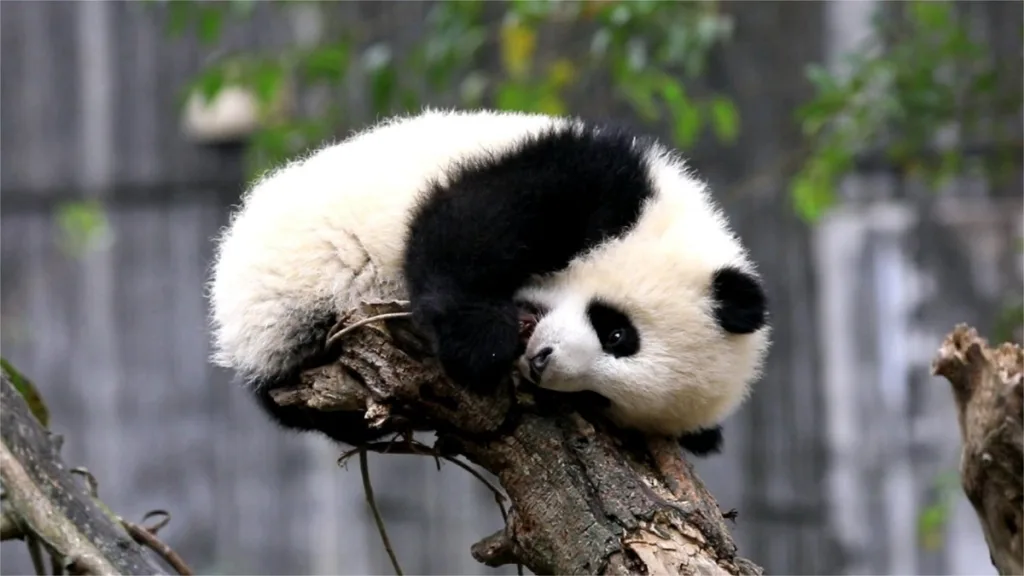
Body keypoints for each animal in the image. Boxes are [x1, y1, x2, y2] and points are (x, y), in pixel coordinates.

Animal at [208, 108, 771, 456]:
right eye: (617, 333)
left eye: (599, 400)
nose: (542, 363)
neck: (670, 218)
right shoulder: (591, 176)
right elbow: (470, 226)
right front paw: (481, 342)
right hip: (286, 284)